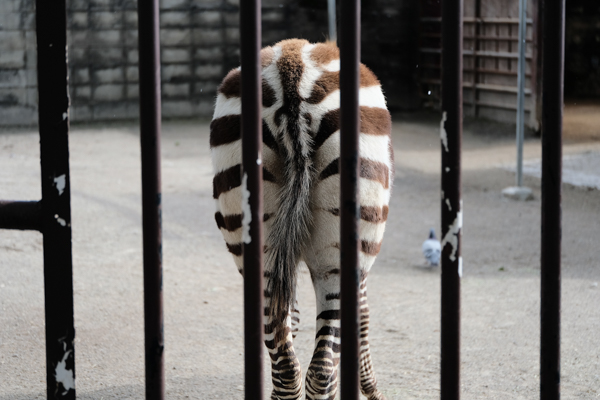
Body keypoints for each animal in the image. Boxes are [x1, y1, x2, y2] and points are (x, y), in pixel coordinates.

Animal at [211, 38, 394, 400]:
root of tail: (292, 73)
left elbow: (292, 321)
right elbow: (362, 319)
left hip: (256, 235)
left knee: (289, 366)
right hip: (340, 255)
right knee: (321, 369)